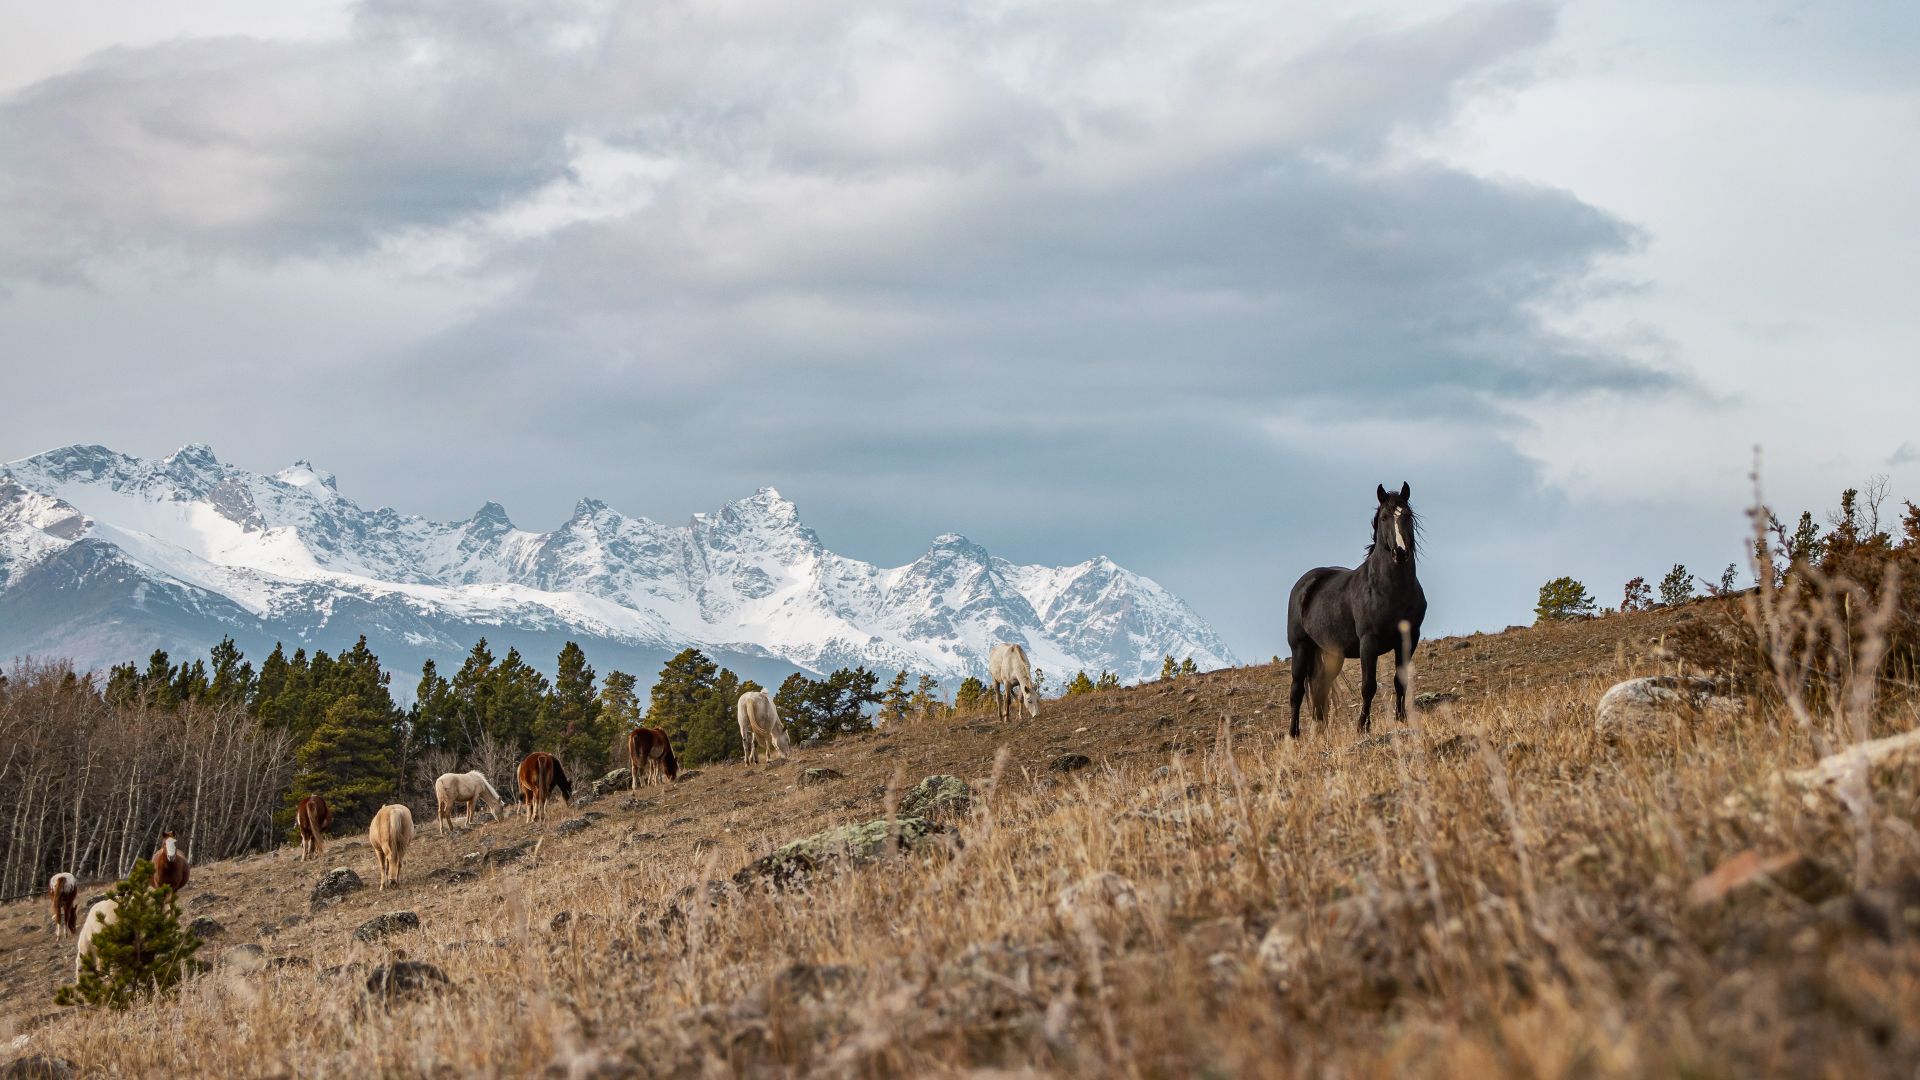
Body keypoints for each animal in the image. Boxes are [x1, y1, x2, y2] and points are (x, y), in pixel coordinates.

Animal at [1286, 482, 1427, 737]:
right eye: (1384, 517)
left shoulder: (1409, 637)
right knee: (1297, 691)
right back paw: (1293, 735)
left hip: (1332, 653)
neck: (1390, 590)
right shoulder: (1368, 642)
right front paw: (1363, 726)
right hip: (1300, 647)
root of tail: (1305, 583)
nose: (1400, 552)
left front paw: (1402, 719)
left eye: (1408, 516)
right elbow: (1368, 685)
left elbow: (1400, 680)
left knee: (1320, 688)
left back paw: (1319, 731)